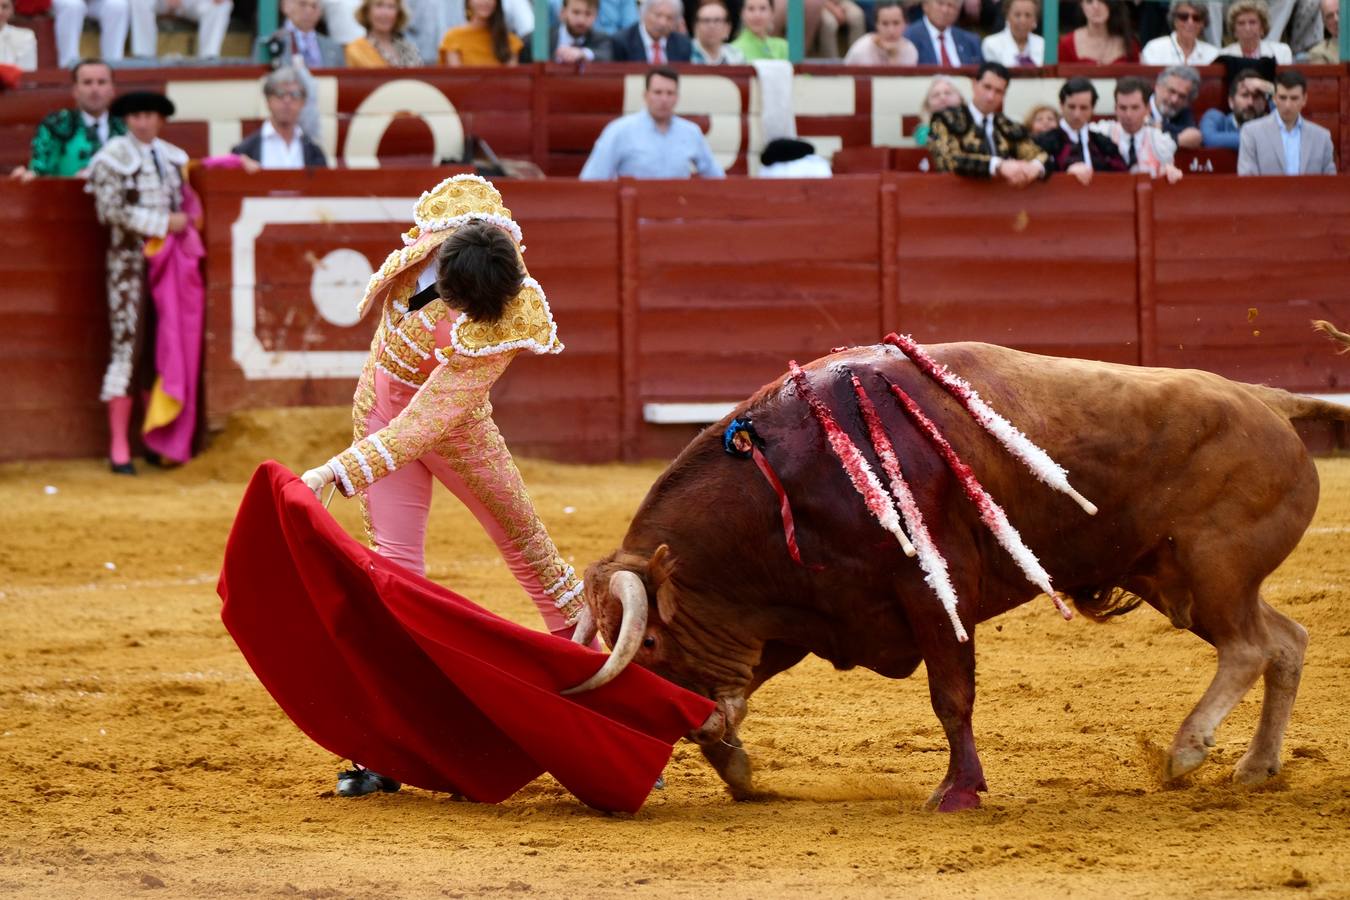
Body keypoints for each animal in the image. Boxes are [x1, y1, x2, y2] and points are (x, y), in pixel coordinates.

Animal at [561, 335, 1350, 809]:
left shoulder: (935, 589)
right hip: (1180, 579)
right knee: (1286, 640)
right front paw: (737, 769)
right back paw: (1255, 767)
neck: (786, 473)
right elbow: (753, 680)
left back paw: (1186, 753)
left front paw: (958, 792)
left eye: (648, 642)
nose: (683, 724)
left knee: (1249, 647)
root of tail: (1268, 400)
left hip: (1211, 571)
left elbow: (952, 696)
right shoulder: (803, 611)